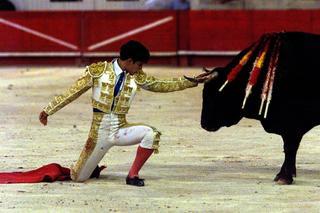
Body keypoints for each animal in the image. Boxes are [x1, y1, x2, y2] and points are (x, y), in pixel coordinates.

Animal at [186, 31, 320, 185]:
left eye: (215, 94)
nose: (204, 124)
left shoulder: (292, 123)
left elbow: (290, 147)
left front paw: (284, 177)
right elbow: (289, 148)